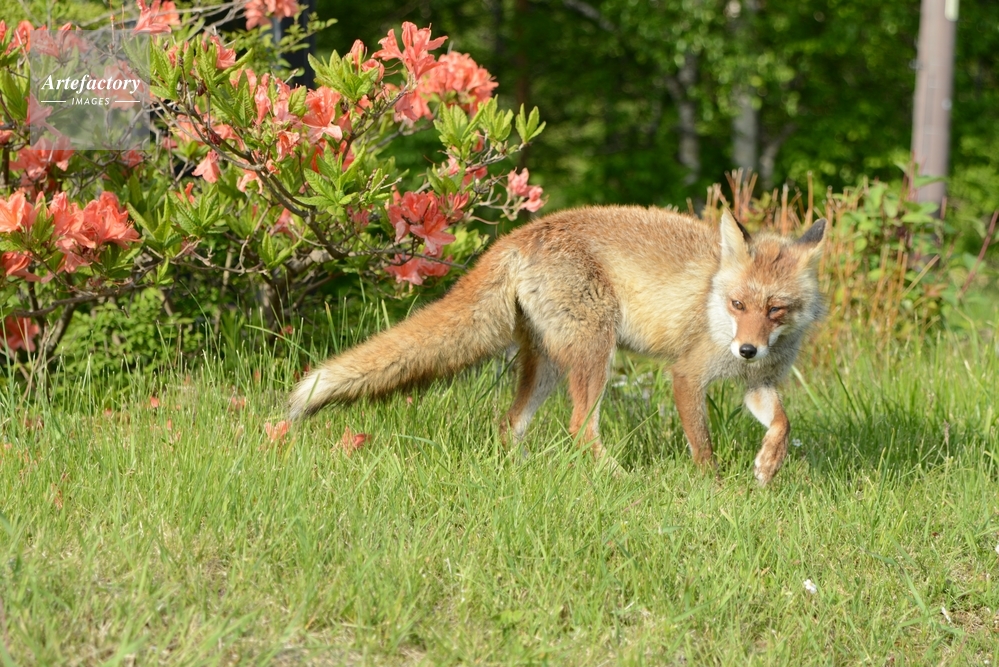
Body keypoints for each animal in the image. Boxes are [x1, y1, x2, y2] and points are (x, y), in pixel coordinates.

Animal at [289, 206, 826, 484]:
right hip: (595, 351)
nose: (747, 351)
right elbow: (705, 447)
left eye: (776, 310)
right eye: (738, 304)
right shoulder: (687, 374)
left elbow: (783, 424)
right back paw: (619, 480)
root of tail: (518, 234)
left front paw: (767, 466)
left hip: (547, 364)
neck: (712, 301)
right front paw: (713, 489)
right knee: (578, 427)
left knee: (510, 423)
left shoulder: (758, 385)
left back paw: (522, 472)